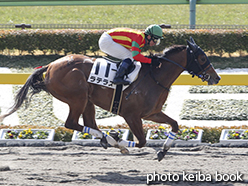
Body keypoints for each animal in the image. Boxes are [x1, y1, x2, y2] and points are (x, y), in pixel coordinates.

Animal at [0, 37, 221, 161]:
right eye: (202, 58)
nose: (216, 77)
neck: (155, 77)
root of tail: (51, 65)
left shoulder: (152, 112)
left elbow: (174, 124)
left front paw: (163, 151)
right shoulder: (131, 115)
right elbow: (141, 142)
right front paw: (121, 142)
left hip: (87, 101)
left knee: (88, 123)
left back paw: (108, 138)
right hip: (77, 97)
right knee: (72, 123)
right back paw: (112, 140)